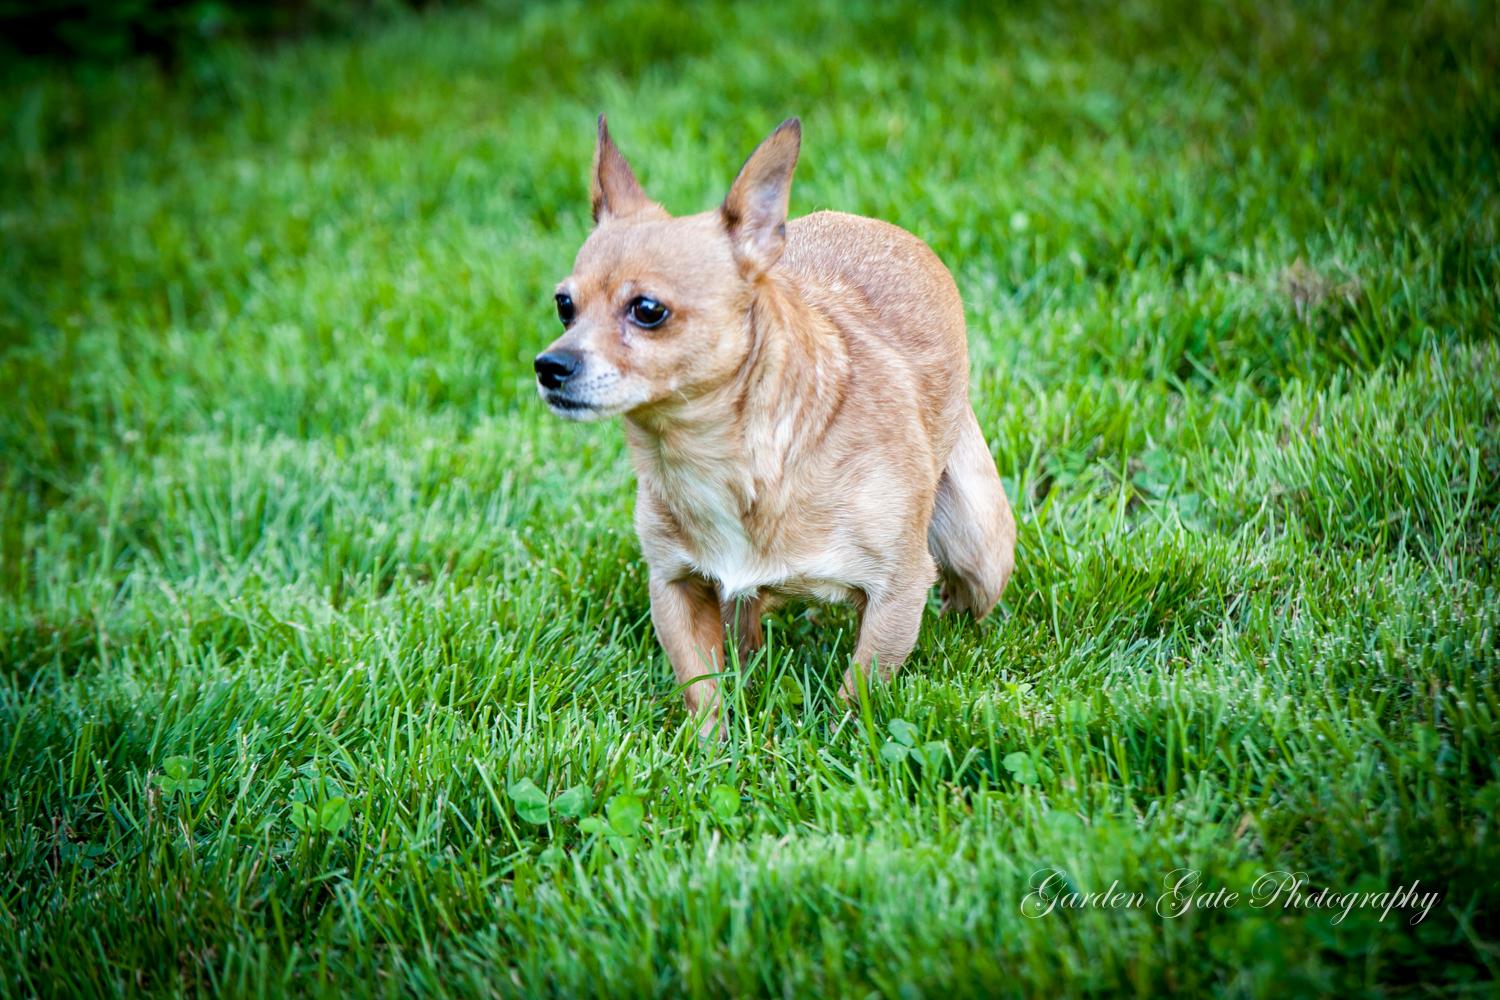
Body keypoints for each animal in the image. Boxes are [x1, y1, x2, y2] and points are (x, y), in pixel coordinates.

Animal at [534, 117, 1014, 734]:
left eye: (647, 310)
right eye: (563, 306)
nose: (550, 365)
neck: (717, 458)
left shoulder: (899, 591)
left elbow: (859, 690)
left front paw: (843, 743)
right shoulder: (673, 586)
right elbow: (702, 690)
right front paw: (712, 748)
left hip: (978, 544)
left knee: (966, 596)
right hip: (739, 598)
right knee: (746, 631)